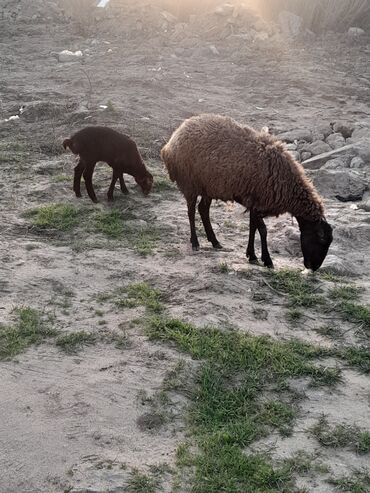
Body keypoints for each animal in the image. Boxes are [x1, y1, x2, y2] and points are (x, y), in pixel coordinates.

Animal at [160, 113, 334, 270]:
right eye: (321, 239)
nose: (313, 267)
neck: (289, 186)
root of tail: (170, 144)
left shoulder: (254, 203)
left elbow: (253, 228)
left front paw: (252, 255)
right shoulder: (257, 202)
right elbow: (262, 230)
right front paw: (267, 260)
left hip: (208, 186)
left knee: (203, 209)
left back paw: (215, 242)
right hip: (190, 183)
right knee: (190, 212)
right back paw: (195, 242)